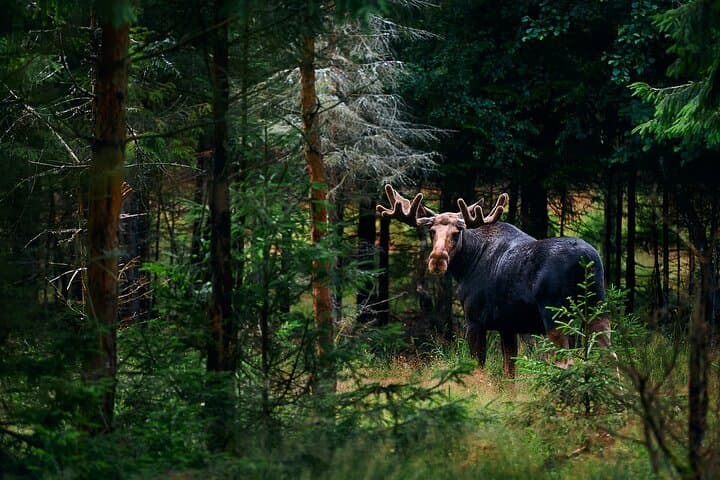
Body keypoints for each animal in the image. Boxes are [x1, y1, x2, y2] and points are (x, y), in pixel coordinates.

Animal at [376, 184, 611, 377]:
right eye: (432, 231)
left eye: (457, 232)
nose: (437, 260)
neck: (466, 265)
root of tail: (586, 260)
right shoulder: (507, 326)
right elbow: (509, 374)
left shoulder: (475, 321)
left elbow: (478, 368)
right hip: (598, 309)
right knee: (608, 357)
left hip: (556, 316)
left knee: (567, 363)